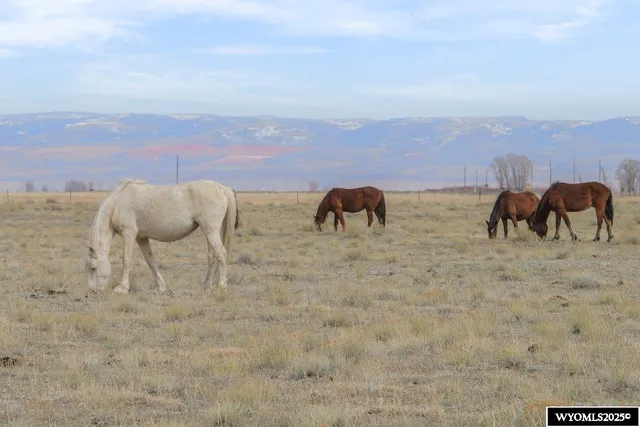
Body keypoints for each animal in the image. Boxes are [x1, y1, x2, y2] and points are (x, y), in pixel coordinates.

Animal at [84, 178, 240, 294]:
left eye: (93, 268)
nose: (92, 291)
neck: (117, 203)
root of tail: (222, 188)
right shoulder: (141, 238)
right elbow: (151, 261)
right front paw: (161, 287)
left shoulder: (129, 234)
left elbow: (126, 260)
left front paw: (121, 288)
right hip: (209, 232)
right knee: (212, 256)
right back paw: (207, 286)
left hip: (211, 231)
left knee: (221, 253)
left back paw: (221, 285)